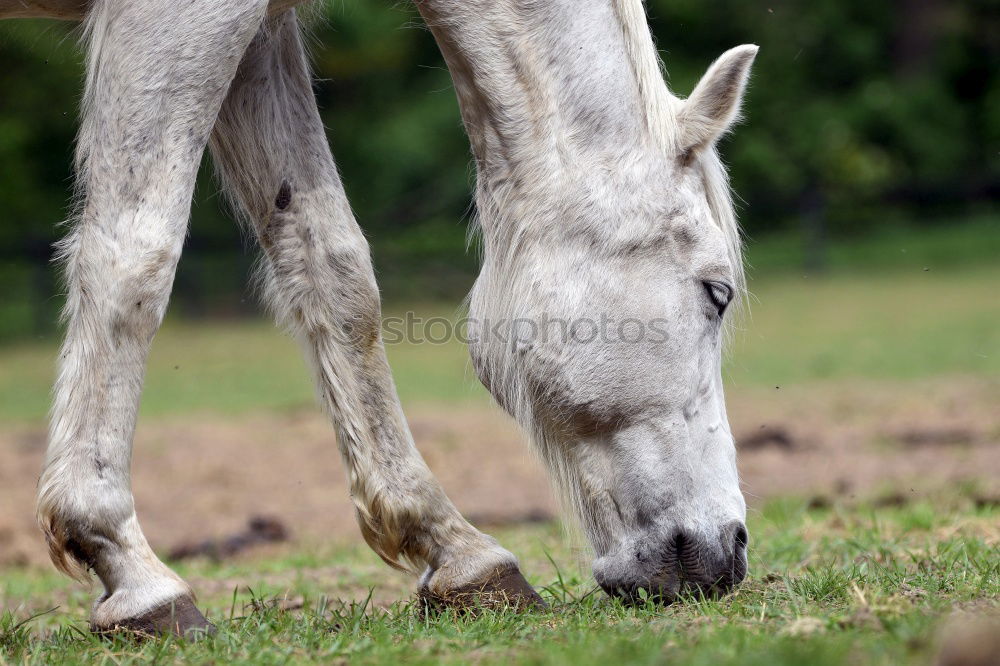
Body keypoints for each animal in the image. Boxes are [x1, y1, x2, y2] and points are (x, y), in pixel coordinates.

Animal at [0, 0, 752, 632]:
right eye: (718, 291)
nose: (729, 553)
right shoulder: (177, 18)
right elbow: (134, 255)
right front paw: (129, 571)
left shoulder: (261, 33)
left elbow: (332, 266)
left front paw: (458, 552)